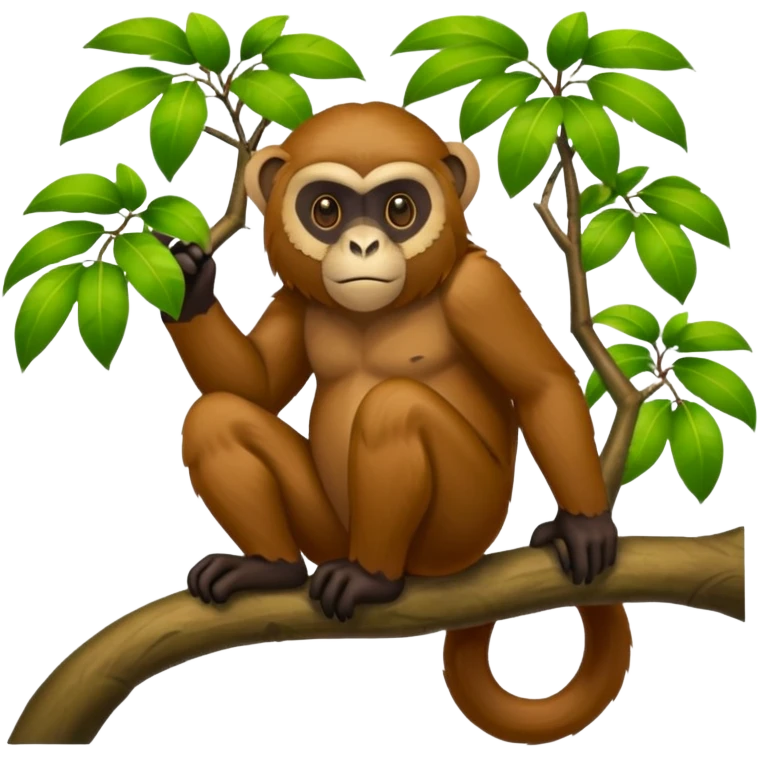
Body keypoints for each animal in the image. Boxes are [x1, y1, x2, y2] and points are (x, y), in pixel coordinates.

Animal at [155, 100, 632, 746]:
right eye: (326, 211)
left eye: (399, 209)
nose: (360, 245)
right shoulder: (298, 297)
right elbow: (254, 386)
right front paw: (188, 284)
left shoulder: (481, 288)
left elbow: (541, 387)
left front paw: (584, 527)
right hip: (331, 531)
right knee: (218, 415)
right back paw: (271, 568)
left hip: (459, 529)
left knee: (394, 410)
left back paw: (373, 578)